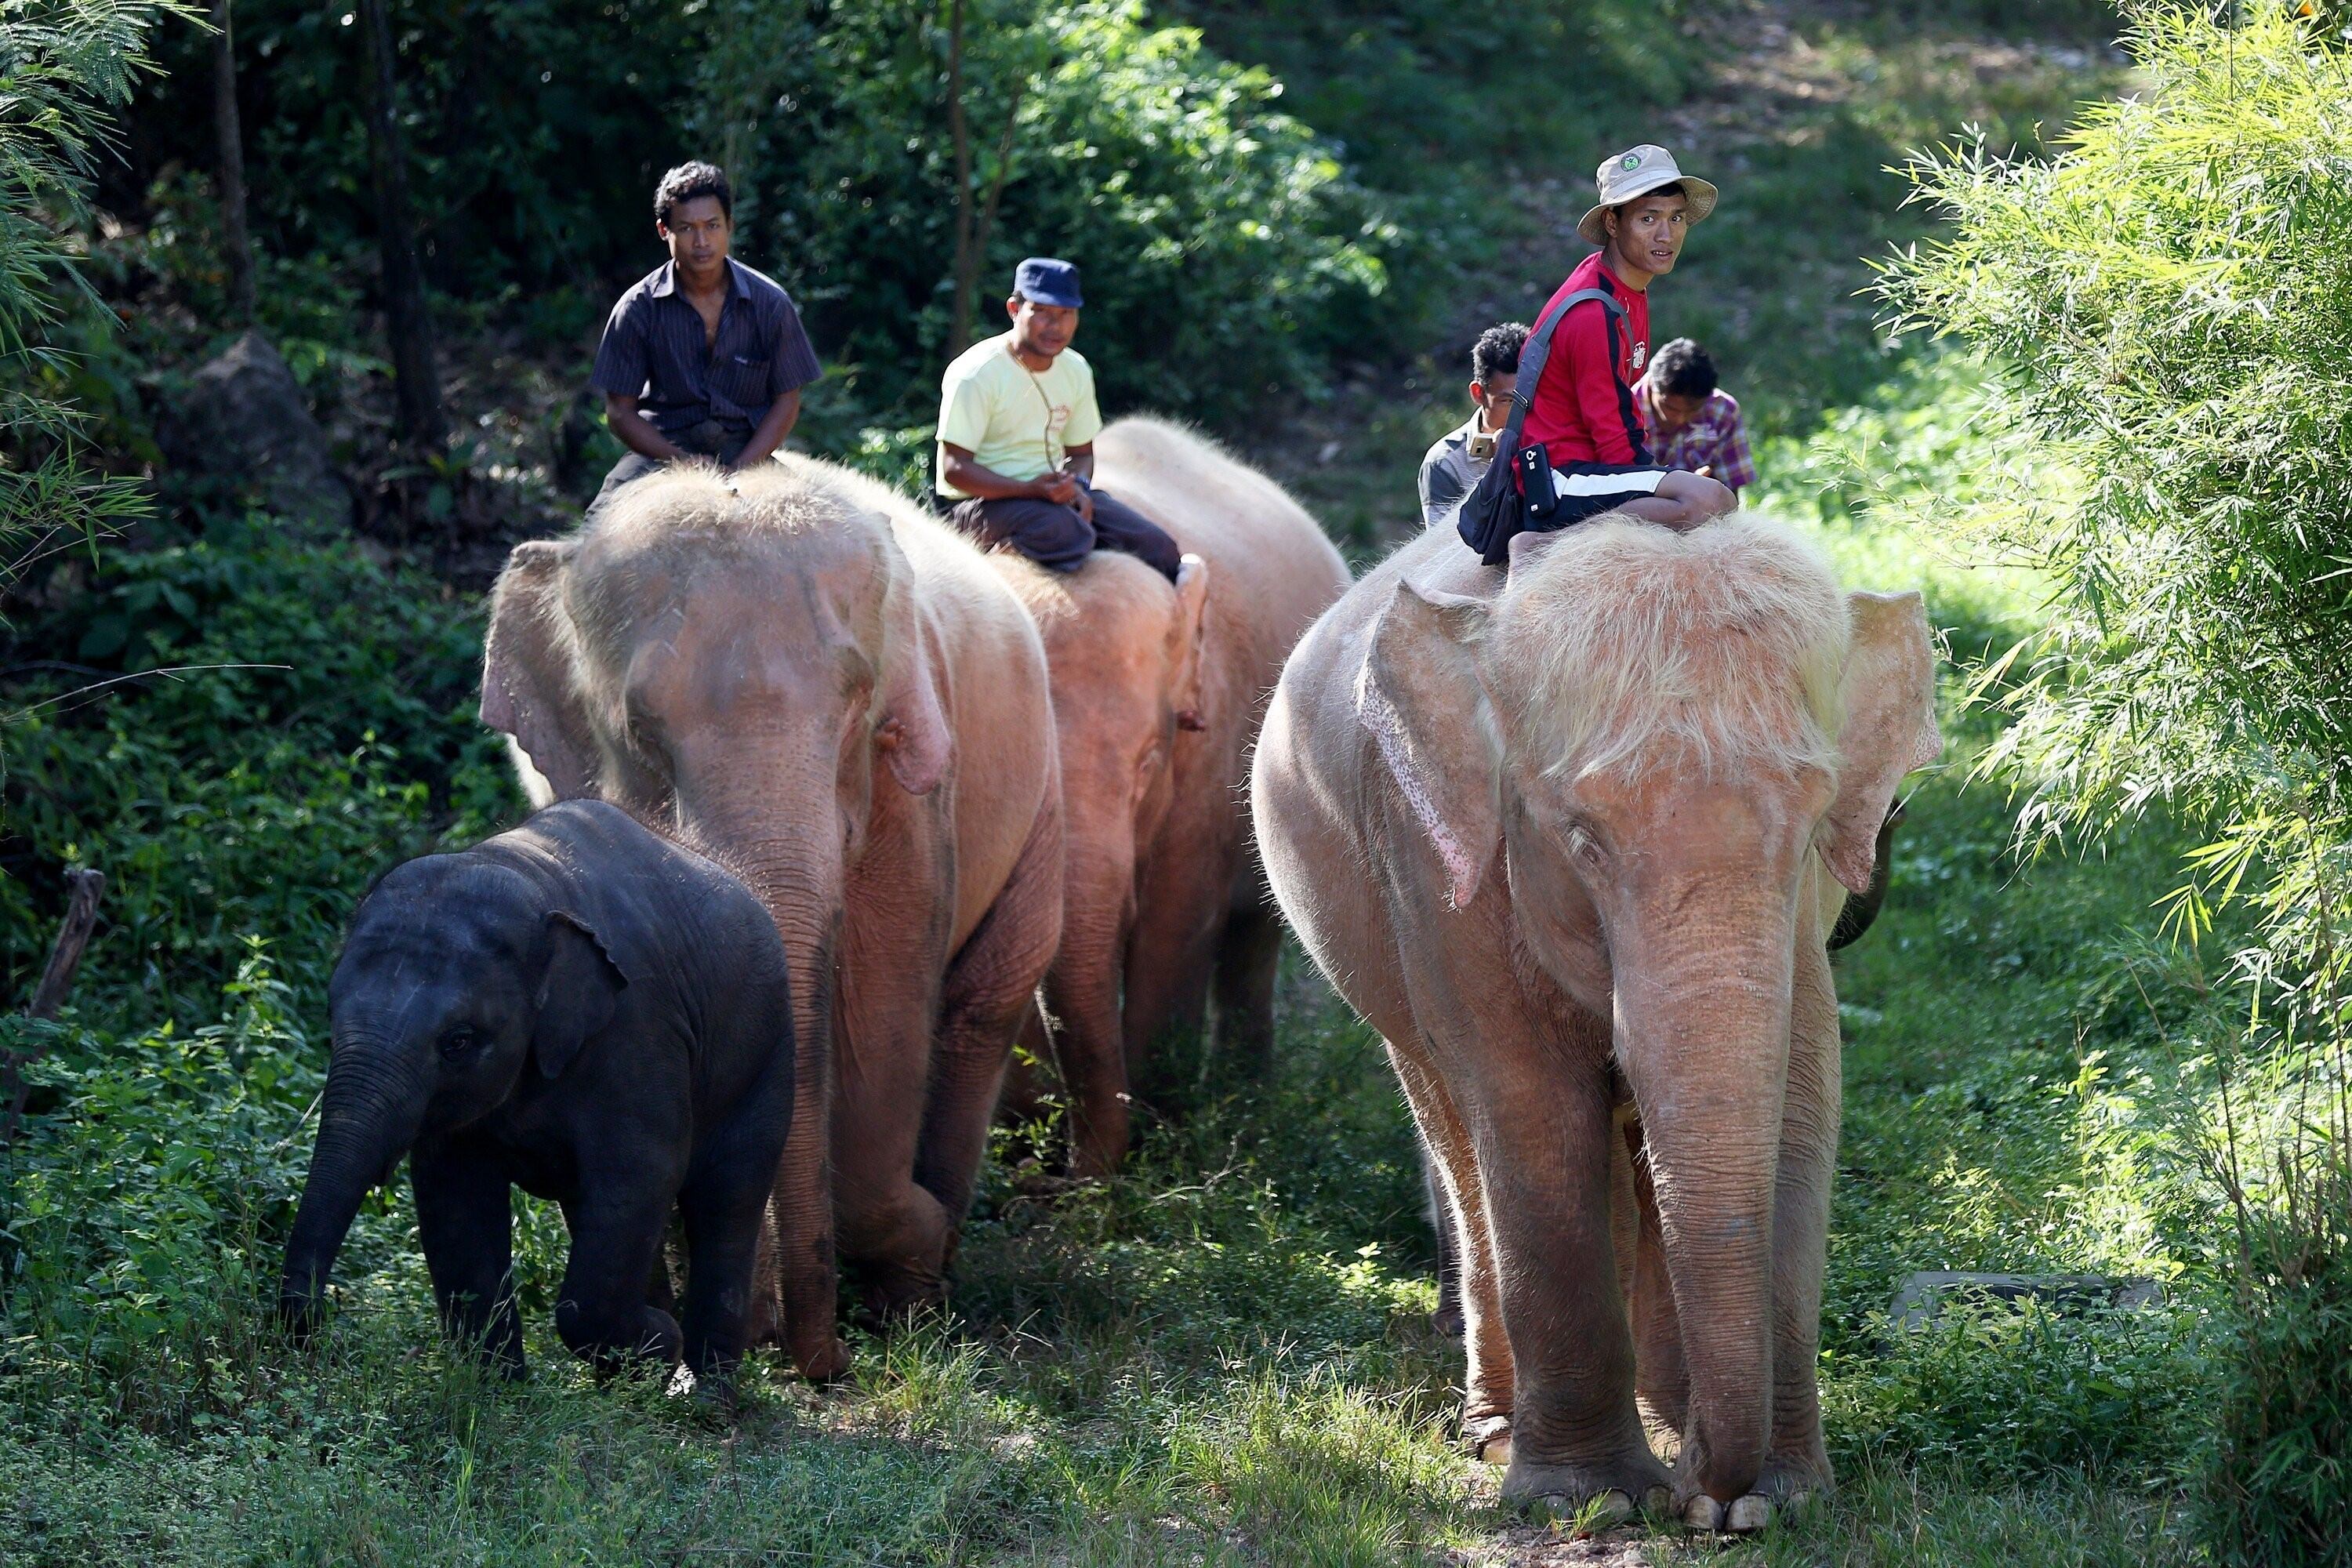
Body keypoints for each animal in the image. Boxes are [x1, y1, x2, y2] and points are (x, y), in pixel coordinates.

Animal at [278, 804, 795, 1382]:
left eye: (458, 1041)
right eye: (330, 1014)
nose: (317, 1329)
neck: (528, 877)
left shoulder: (640, 1034)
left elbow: (643, 1172)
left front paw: (661, 1343)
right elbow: (454, 1196)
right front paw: (500, 1390)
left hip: (768, 1057)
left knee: (726, 1203)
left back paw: (701, 1394)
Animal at [482, 460, 1063, 1382]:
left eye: (860, 704)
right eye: (639, 729)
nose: (825, 1361)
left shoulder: (908, 801)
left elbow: (882, 1014)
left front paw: (902, 1275)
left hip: (1041, 798)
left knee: (982, 1005)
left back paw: (925, 1280)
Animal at [1002, 420, 1355, 1175]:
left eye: (1149, 762)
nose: (1070, 1173)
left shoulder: (1209, 755)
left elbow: (1175, 926)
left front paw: (1160, 1135)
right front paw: (1027, 1143)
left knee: (1254, 936)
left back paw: (1245, 1095)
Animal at [1261, 514, 1938, 1533]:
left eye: (1815, 822)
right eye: (1582, 839)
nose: (1710, 1489)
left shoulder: (1804, 932)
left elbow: (1801, 1109)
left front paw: (1769, 1501)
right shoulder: (1446, 876)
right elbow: (1533, 1107)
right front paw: (1595, 1501)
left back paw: (1659, 1409)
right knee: (1457, 1137)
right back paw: (1500, 1431)